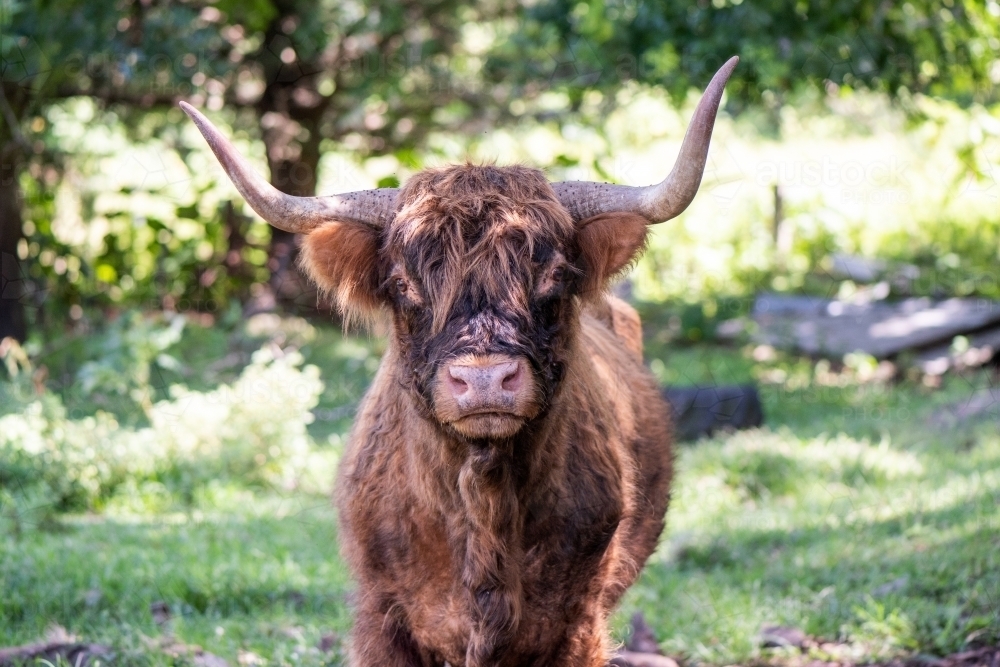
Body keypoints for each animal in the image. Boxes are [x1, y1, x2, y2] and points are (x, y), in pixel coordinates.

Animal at [184, 56, 740, 667]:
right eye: (403, 283)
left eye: (553, 276)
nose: (484, 380)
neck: (483, 506)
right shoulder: (382, 618)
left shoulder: (579, 622)